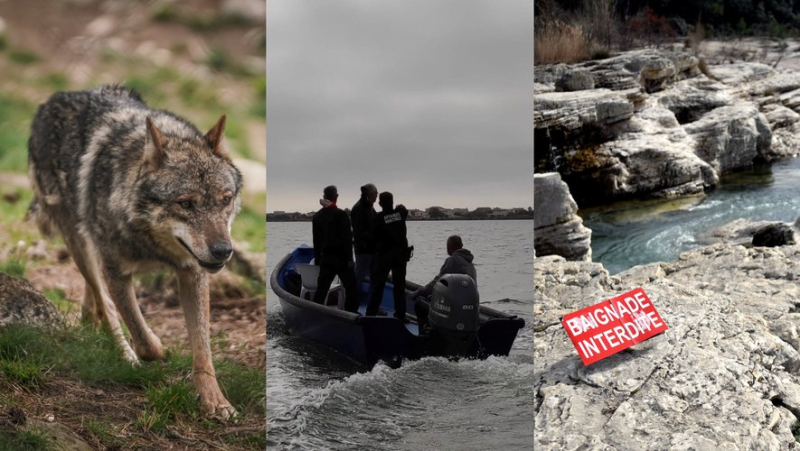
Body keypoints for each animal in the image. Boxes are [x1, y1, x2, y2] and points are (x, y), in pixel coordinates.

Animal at [27, 85, 244, 420]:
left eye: (225, 199)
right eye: (185, 203)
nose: (223, 251)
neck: (152, 244)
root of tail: (53, 99)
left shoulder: (192, 272)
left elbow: (203, 351)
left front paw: (216, 402)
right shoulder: (116, 271)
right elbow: (145, 341)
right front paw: (154, 345)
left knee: (95, 298)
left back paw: (90, 321)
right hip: (80, 243)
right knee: (105, 302)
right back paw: (123, 351)